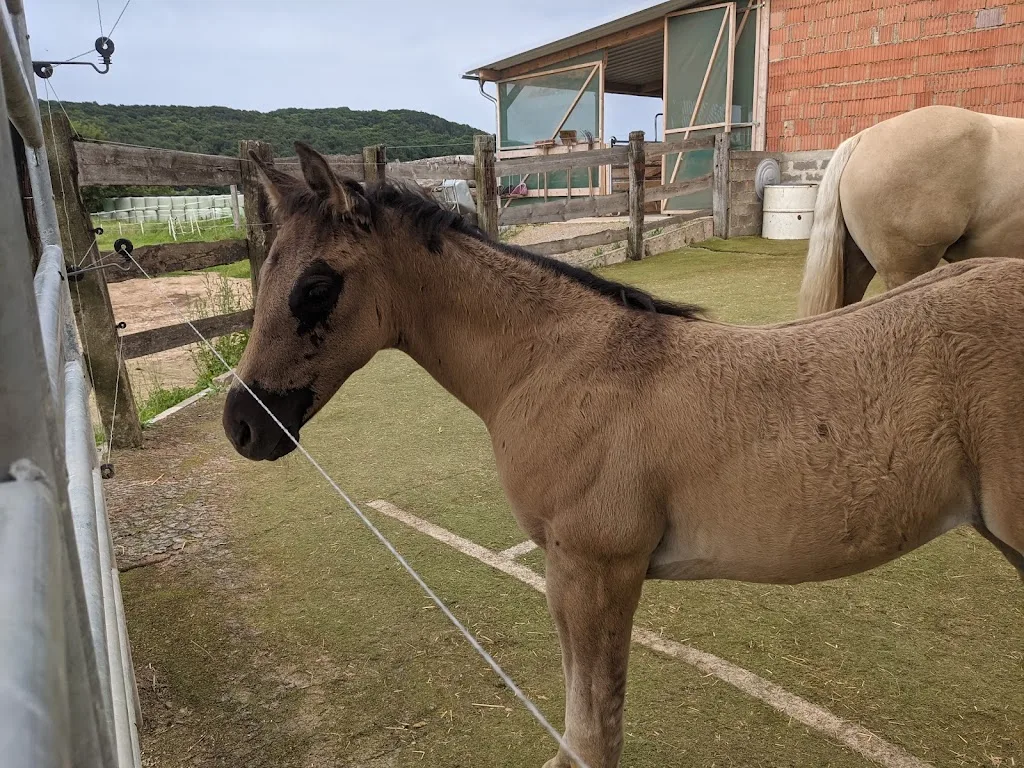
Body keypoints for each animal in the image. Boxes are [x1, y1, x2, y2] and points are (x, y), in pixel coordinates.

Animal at [223, 142, 1024, 768]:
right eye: (265, 271)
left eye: (316, 287)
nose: (242, 425)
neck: (559, 364)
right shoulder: (569, 572)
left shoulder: (597, 567)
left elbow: (594, 720)